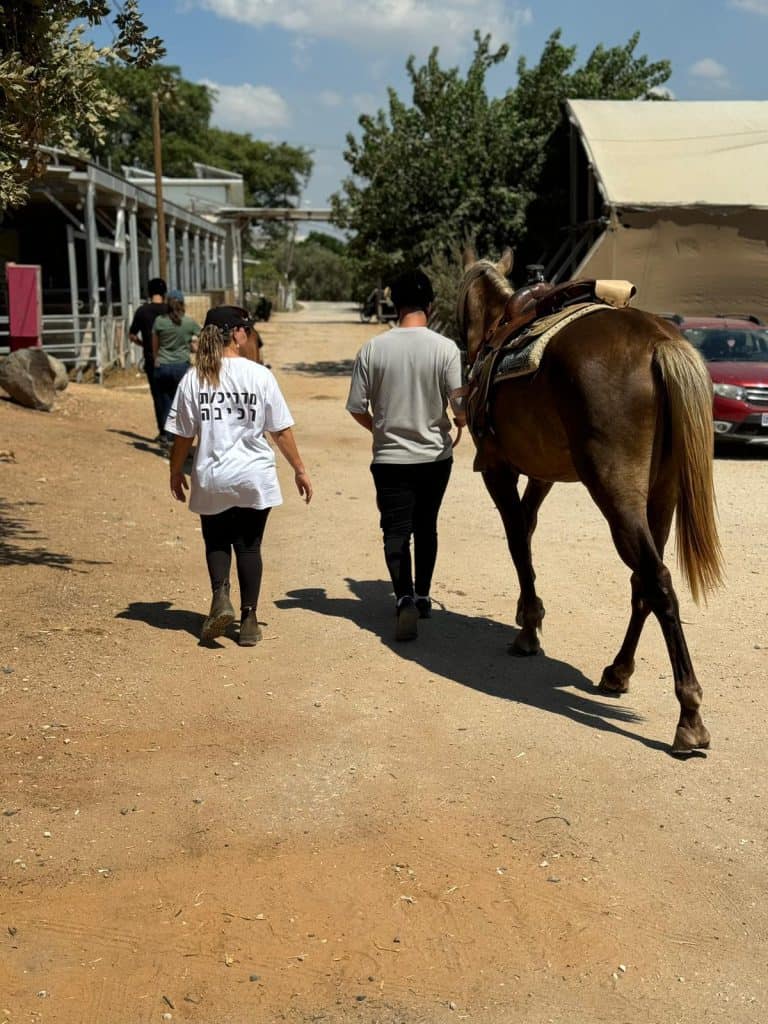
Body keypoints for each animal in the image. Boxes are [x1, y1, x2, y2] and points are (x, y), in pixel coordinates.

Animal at [460, 251, 724, 753]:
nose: (465, 347)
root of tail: (660, 345)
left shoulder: (497, 468)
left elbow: (516, 539)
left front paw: (528, 629)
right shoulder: (542, 473)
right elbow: (527, 529)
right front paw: (528, 618)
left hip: (613, 489)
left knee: (656, 579)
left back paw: (690, 716)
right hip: (662, 493)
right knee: (644, 581)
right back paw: (618, 671)